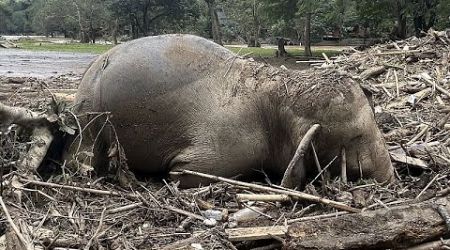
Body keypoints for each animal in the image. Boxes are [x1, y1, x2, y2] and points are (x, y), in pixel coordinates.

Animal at [0, 34, 394, 188]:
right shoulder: (233, 145)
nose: (392, 177)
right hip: (90, 115)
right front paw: (171, 175)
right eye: (356, 136)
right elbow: (187, 171)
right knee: (81, 157)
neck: (277, 90)